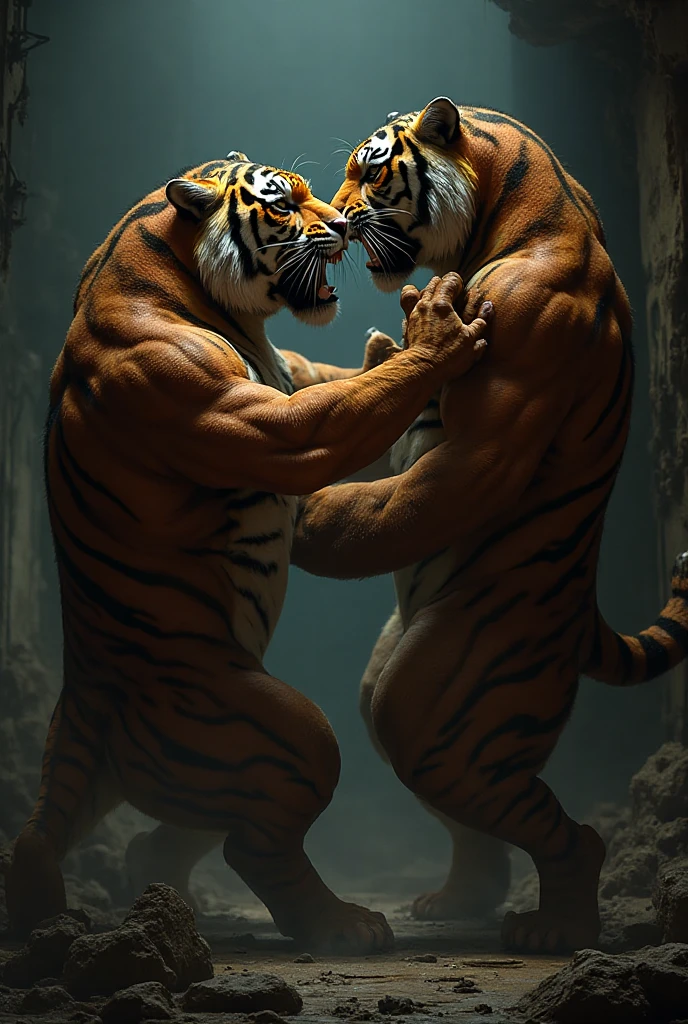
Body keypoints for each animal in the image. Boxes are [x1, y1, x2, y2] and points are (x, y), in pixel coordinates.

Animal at [5, 150, 493, 952]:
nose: (344, 228)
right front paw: (435, 331)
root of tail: (86, 697)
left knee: (70, 836)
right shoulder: (246, 413)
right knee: (256, 845)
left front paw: (389, 345)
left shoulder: (294, 372)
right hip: (277, 735)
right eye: (284, 205)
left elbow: (358, 386)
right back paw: (342, 925)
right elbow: (330, 420)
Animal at [288, 98, 688, 953]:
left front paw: (308, 517)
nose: (335, 220)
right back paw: (461, 899)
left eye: (370, 170)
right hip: (397, 687)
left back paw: (559, 926)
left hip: (442, 698)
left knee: (565, 830)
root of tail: (582, 618)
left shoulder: (499, 410)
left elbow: (434, 479)